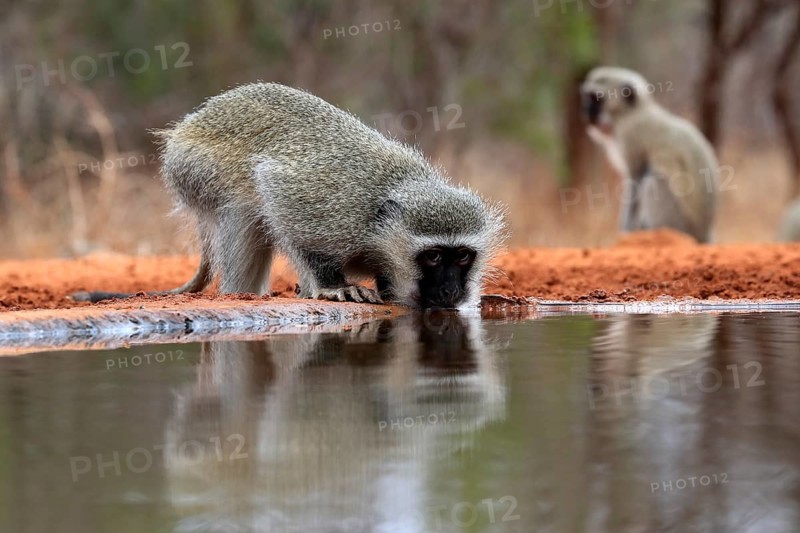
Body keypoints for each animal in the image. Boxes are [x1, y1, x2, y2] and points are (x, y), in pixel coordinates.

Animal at [73, 83, 506, 309]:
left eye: (462, 257)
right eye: (432, 257)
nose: (451, 291)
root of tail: (189, 123)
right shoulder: (331, 207)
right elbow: (278, 199)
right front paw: (332, 285)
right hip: (192, 167)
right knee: (245, 211)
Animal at [579, 67, 719, 243]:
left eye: (596, 99)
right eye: (587, 98)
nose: (585, 111)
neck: (632, 113)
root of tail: (703, 233)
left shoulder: (630, 136)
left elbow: (635, 182)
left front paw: (626, 232)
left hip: (681, 223)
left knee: (653, 180)